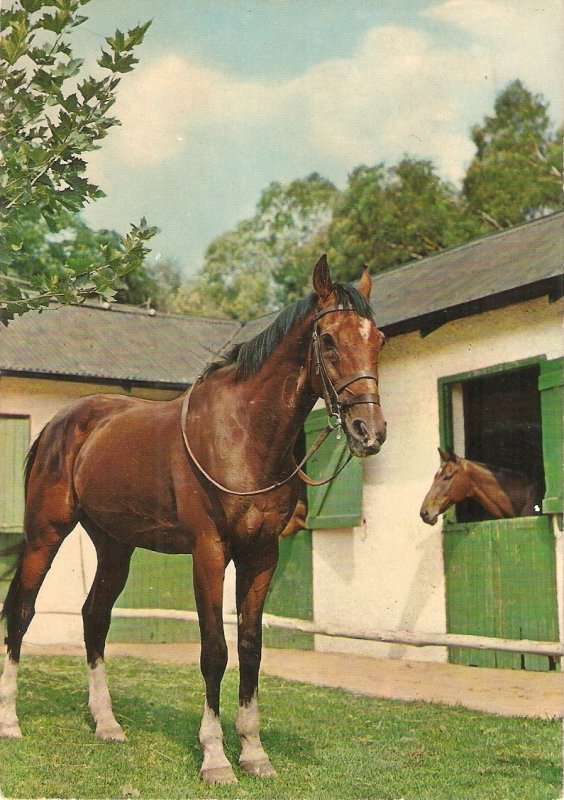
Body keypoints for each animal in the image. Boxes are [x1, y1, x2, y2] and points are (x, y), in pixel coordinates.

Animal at [0, 258, 388, 788]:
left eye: (378, 339)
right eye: (327, 339)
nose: (370, 432)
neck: (243, 435)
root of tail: (58, 425)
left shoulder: (260, 555)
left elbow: (250, 647)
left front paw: (254, 752)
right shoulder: (209, 552)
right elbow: (214, 651)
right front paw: (215, 758)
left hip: (115, 546)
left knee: (94, 617)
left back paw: (107, 724)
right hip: (46, 533)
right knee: (20, 611)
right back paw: (10, 721)